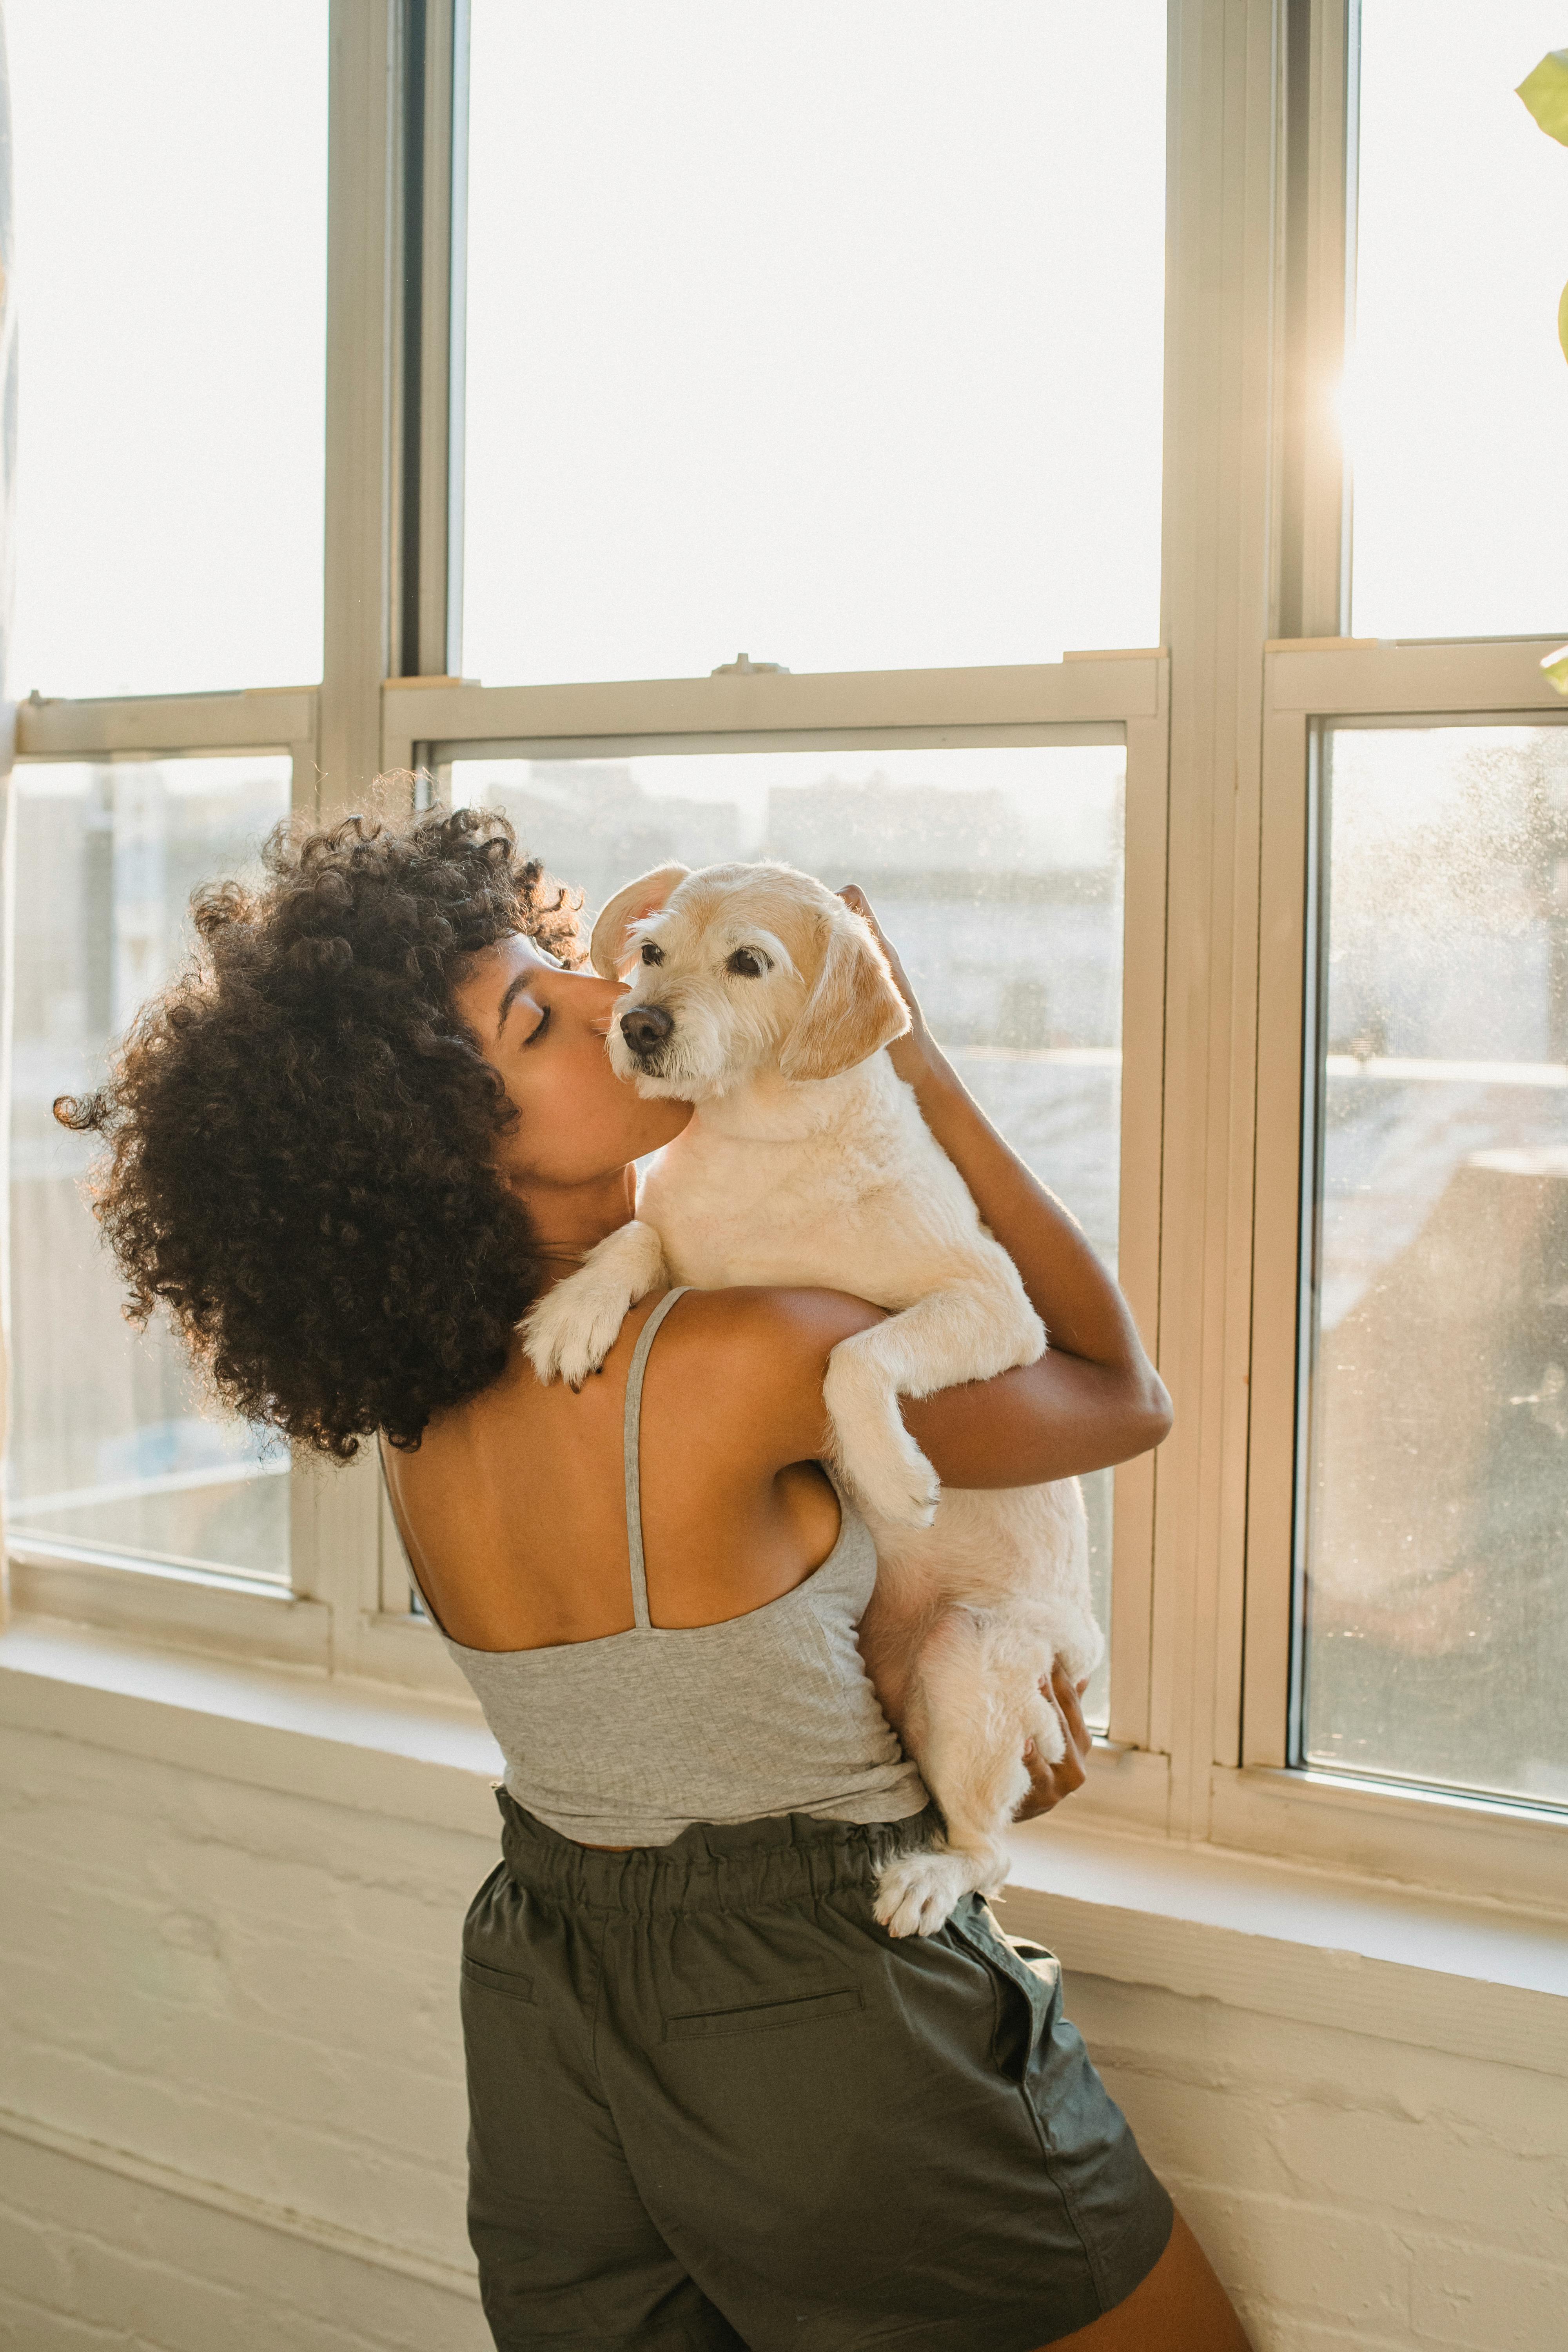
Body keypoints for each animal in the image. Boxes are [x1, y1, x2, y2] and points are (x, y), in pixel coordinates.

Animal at [526, 861, 1105, 1929]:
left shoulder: (994, 1308)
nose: (639, 1023)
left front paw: (892, 1472)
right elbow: (634, 1239)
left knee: (988, 1853)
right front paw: (577, 1308)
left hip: (966, 1654)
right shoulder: (673, 1243)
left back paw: (928, 1878)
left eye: (749, 963)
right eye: (652, 951)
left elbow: (858, 1354)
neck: (759, 1144)